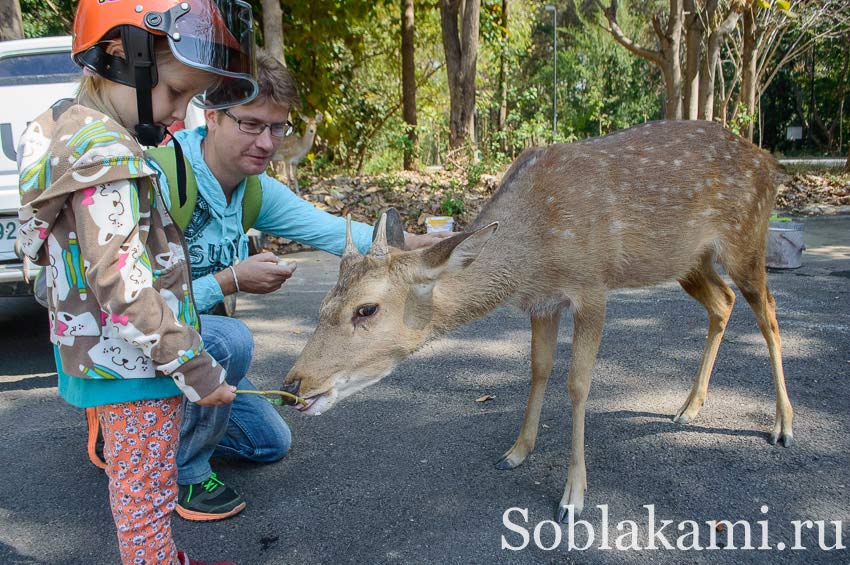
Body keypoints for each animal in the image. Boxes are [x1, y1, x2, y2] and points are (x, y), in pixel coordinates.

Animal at [282, 121, 792, 524]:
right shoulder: (543, 304)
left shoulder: (591, 285)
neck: (532, 256)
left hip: (747, 239)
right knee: (722, 303)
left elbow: (578, 384)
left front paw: (573, 498)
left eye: (366, 309)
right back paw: (689, 407)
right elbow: (538, 369)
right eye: (325, 300)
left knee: (768, 312)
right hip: (690, 261)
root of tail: (770, 161)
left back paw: (783, 425)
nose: (293, 384)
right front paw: (517, 452)